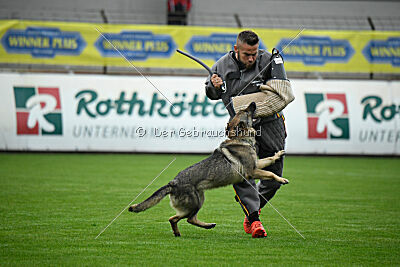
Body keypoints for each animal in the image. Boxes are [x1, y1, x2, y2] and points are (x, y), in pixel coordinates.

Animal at [130, 102, 290, 237]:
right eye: (246, 111)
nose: (253, 102)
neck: (240, 138)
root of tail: (173, 183)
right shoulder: (252, 171)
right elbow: (271, 173)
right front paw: (282, 179)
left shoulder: (257, 165)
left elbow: (269, 160)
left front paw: (278, 154)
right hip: (195, 202)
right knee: (181, 219)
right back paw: (202, 226)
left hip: (200, 199)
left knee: (178, 218)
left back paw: (189, 230)